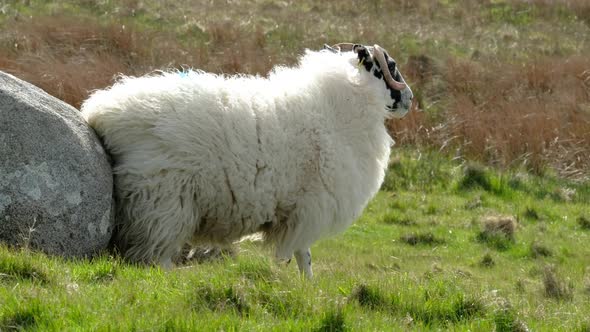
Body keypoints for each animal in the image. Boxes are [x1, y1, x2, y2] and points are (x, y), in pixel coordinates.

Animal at [81, 43, 414, 278]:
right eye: (391, 67)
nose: (410, 99)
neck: (340, 106)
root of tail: (101, 111)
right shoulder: (309, 205)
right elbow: (303, 254)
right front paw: (309, 287)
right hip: (162, 199)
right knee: (154, 252)